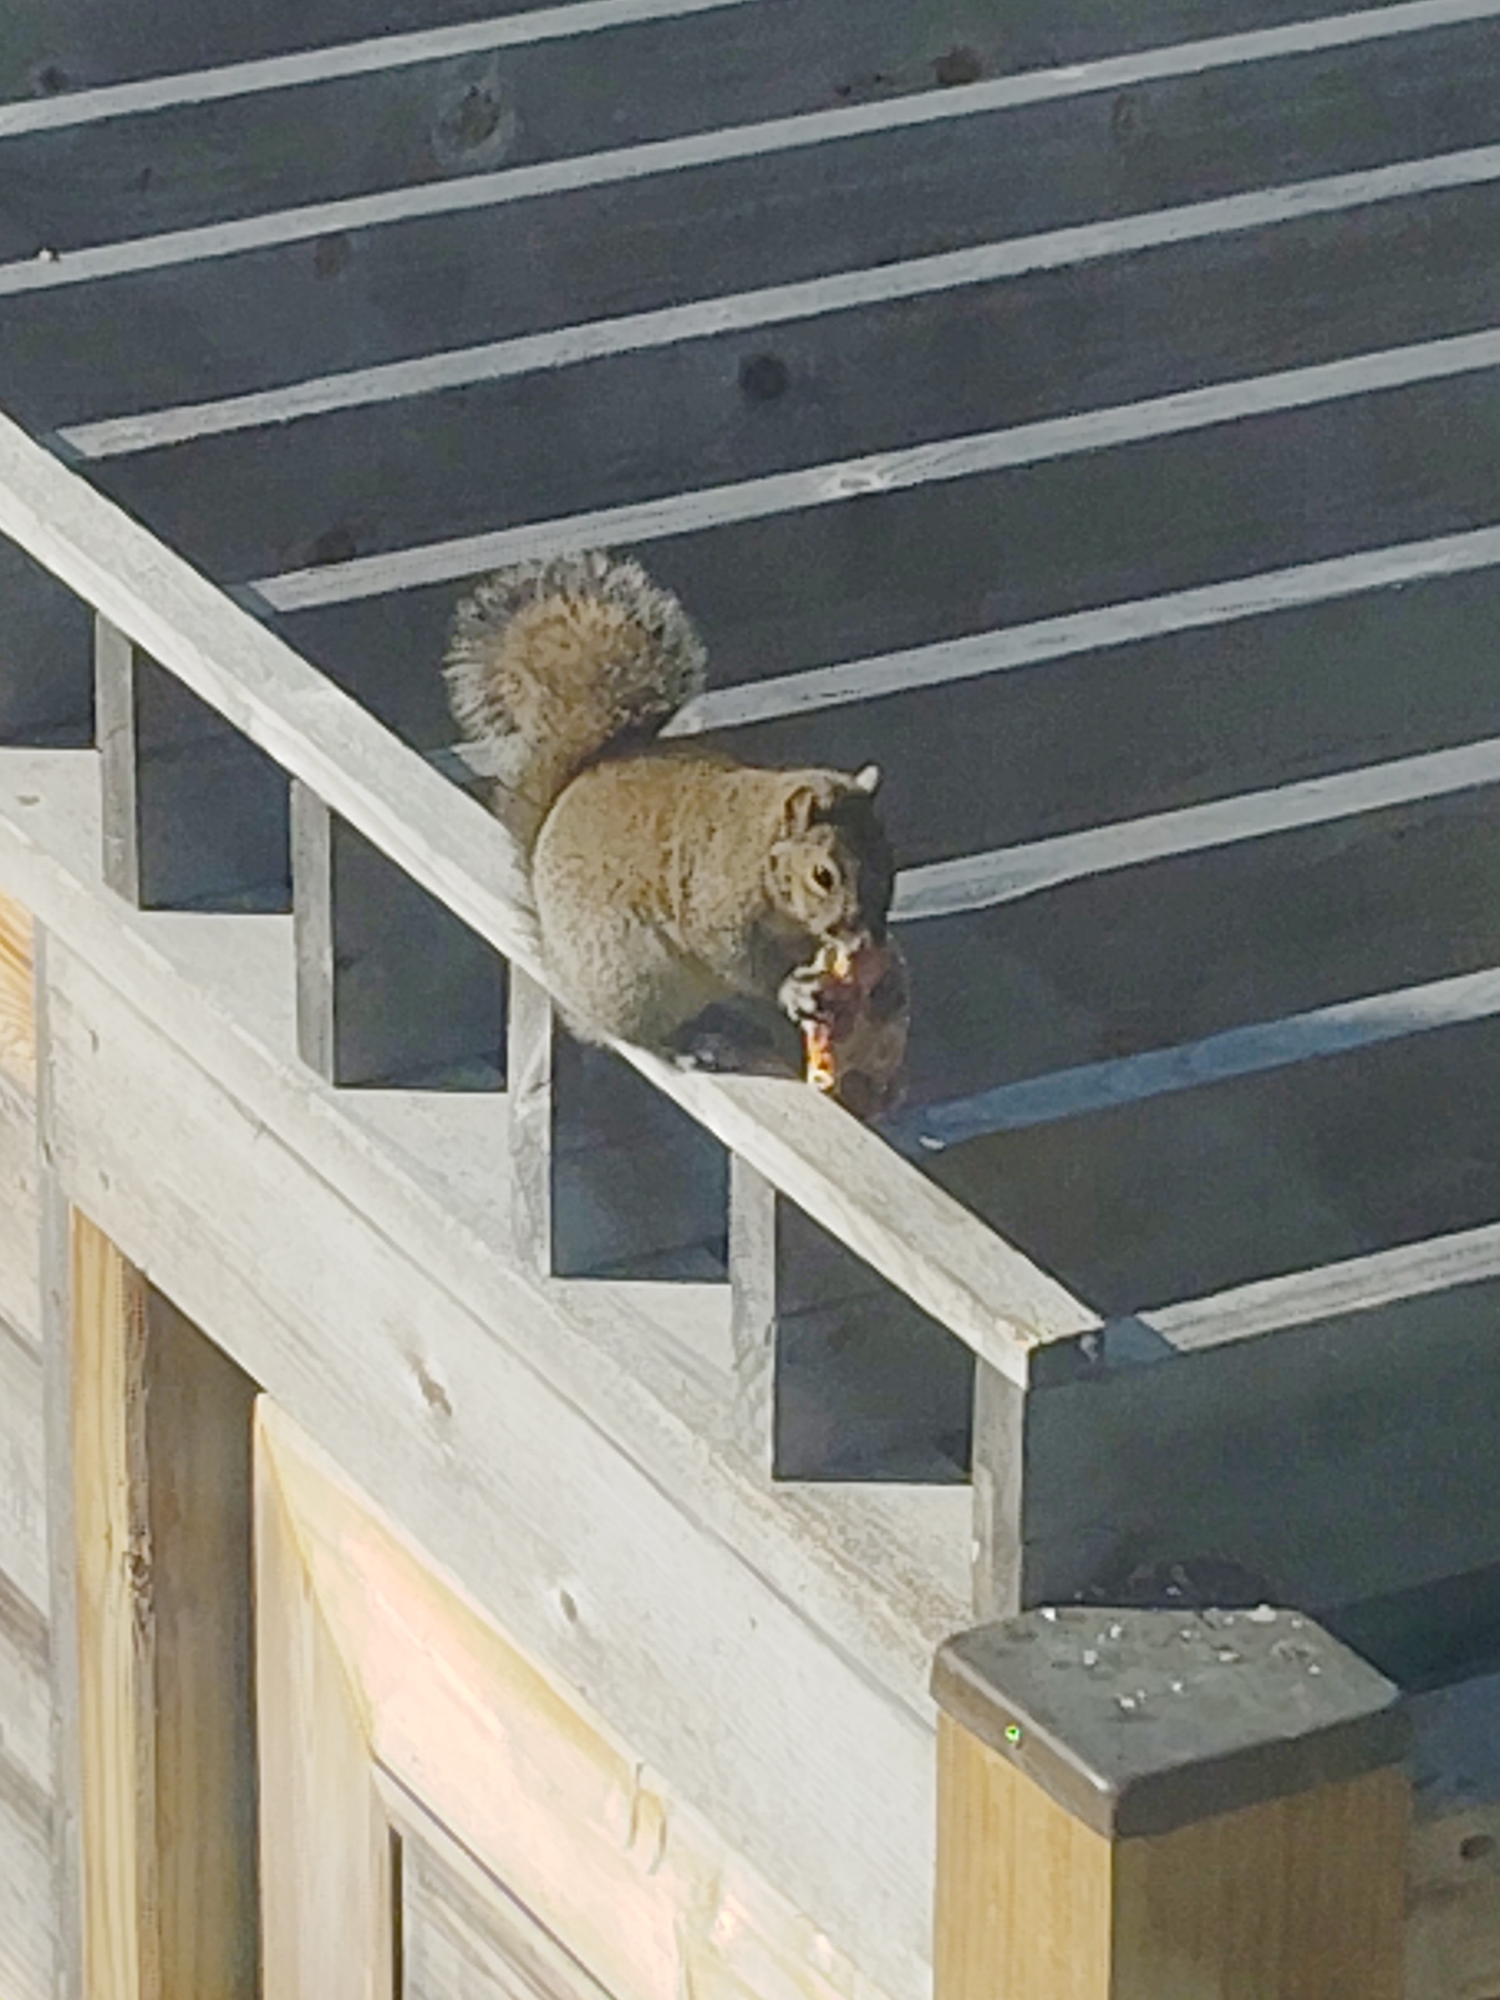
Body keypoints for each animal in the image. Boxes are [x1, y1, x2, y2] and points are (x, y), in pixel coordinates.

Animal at [443, 549, 902, 1078]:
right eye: (823, 875)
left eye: (890, 861)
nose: (867, 939)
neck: (759, 848)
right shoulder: (714, 908)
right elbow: (742, 964)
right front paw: (793, 988)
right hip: (638, 979)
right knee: (639, 1034)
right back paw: (689, 1043)